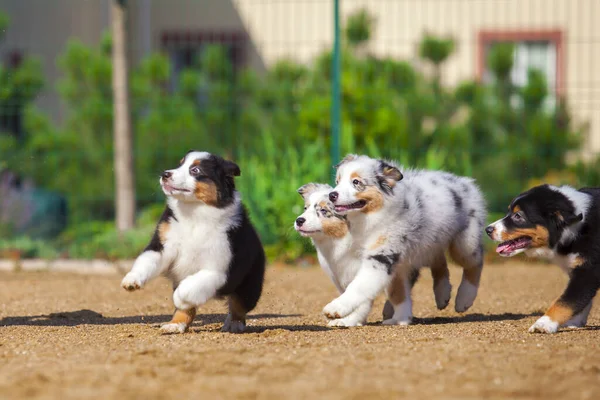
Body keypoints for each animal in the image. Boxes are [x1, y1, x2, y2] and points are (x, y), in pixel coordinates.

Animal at [119, 152, 264, 332]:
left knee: (239, 304)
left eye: (195, 170)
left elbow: (189, 288)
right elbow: (146, 261)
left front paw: (179, 298)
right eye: (179, 164)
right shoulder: (163, 246)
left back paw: (234, 325)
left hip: (250, 283)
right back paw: (174, 325)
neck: (194, 211)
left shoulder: (218, 268)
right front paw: (131, 280)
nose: (165, 174)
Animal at [296, 183, 450, 326]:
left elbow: (363, 299)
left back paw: (442, 295)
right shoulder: (339, 276)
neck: (340, 242)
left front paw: (347, 321)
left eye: (323, 210)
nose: (299, 220)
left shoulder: (375, 270)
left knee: (439, 260)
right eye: (305, 208)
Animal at [324, 155, 488, 326]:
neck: (373, 215)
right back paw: (442, 294)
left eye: (356, 182)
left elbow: (359, 286)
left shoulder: (381, 257)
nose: (331, 195)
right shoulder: (396, 265)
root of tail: (465, 182)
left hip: (464, 243)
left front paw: (335, 308)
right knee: (439, 260)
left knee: (475, 263)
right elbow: (398, 294)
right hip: (430, 242)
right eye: (337, 181)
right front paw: (401, 318)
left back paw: (464, 299)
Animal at [486, 184, 596, 334]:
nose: (487, 230)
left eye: (518, 215)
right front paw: (575, 322)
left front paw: (544, 324)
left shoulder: (588, 271)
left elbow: (567, 300)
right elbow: (581, 299)